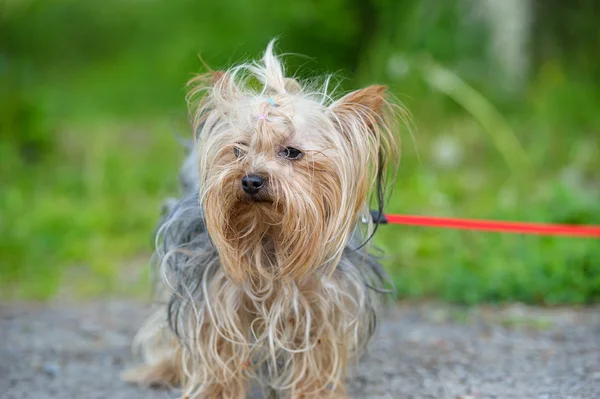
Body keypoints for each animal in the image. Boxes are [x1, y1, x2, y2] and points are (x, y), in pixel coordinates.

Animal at [122, 41, 400, 399]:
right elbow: (215, 347)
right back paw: (162, 369)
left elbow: (316, 354)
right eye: (238, 150)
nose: (251, 180)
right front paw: (215, 391)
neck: (269, 232)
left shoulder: (325, 302)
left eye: (292, 152)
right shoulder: (214, 292)